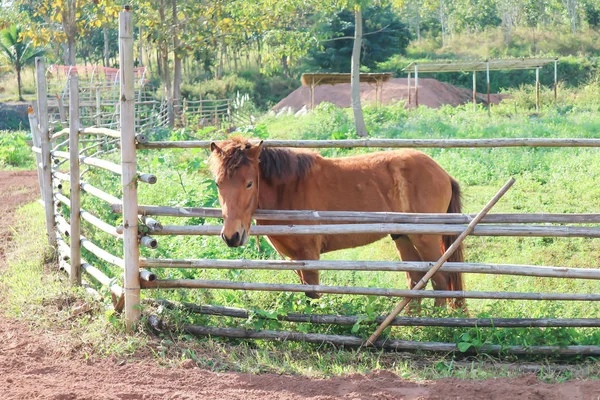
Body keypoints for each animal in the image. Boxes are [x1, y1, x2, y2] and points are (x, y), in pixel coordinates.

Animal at [209, 138, 466, 310]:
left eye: (249, 183)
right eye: (218, 184)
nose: (232, 236)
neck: (288, 189)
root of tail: (443, 173)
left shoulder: (309, 256)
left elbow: (313, 296)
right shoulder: (296, 260)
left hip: (426, 239)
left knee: (441, 280)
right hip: (402, 237)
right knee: (416, 279)